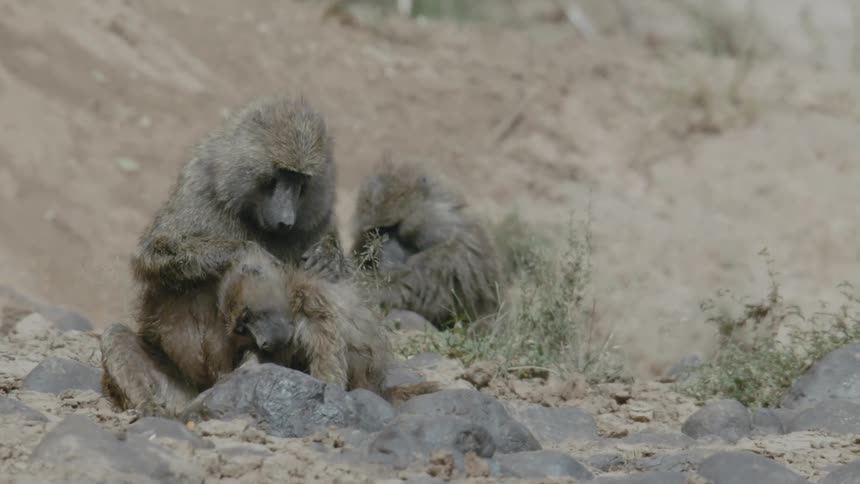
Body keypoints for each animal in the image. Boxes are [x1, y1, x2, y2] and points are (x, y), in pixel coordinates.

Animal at [101, 95, 349, 416]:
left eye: (301, 182)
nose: (286, 220)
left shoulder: (320, 218)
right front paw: (249, 251)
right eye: (281, 174)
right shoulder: (197, 188)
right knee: (116, 335)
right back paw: (150, 408)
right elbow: (152, 254)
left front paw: (329, 255)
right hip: (175, 386)